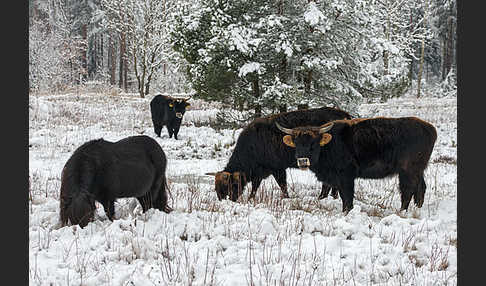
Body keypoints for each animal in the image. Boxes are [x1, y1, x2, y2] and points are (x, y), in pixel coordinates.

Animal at [203, 106, 352, 202]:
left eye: (227, 185)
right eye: (216, 188)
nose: (222, 200)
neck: (252, 145)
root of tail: (346, 115)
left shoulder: (277, 168)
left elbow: (282, 185)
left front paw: (286, 198)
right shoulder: (260, 172)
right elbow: (256, 186)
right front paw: (251, 198)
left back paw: (322, 198)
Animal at [276, 116, 438, 212]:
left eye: (313, 143)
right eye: (296, 143)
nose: (303, 161)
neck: (329, 144)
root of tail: (430, 128)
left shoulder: (346, 177)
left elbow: (347, 196)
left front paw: (346, 211)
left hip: (407, 170)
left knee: (408, 190)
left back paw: (402, 211)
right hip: (418, 170)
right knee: (420, 188)